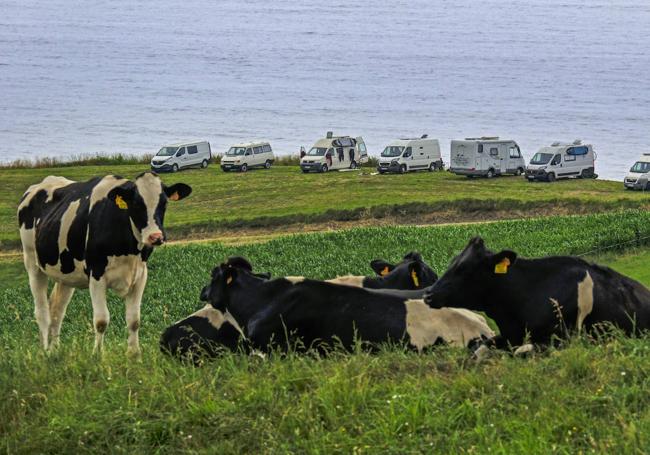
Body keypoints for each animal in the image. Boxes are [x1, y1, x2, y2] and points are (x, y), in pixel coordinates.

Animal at [17, 173, 190, 354]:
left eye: (164, 203)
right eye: (137, 203)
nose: (155, 237)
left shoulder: (141, 274)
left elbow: (134, 320)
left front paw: (134, 354)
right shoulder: (96, 274)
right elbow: (101, 321)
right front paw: (97, 354)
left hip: (66, 272)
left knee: (57, 310)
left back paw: (54, 350)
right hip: (33, 264)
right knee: (42, 312)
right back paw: (44, 352)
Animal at [422, 237, 648, 350]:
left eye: (463, 268)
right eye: (452, 262)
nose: (428, 295)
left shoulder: (561, 340)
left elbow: (524, 350)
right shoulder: (510, 334)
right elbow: (481, 348)